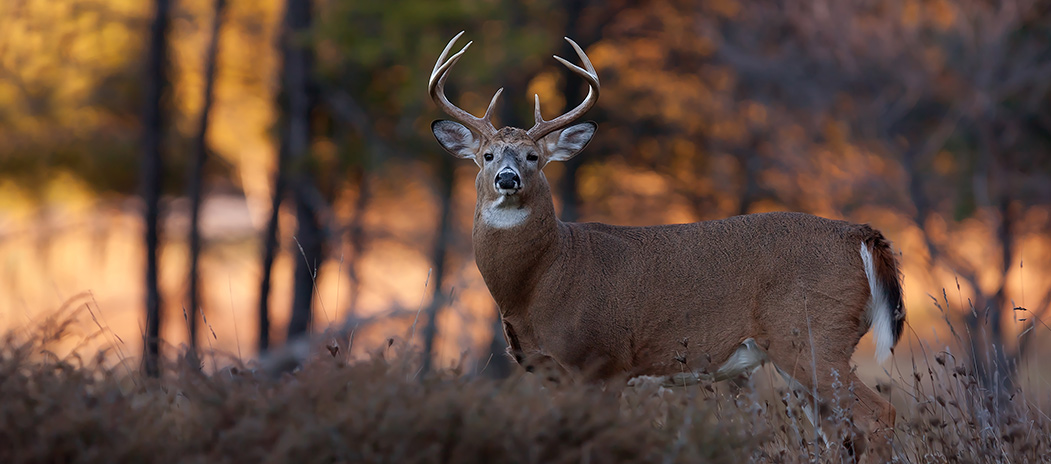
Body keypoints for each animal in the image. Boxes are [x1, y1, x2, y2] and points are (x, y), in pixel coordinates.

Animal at [428, 32, 906, 463]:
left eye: (533, 157)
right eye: (487, 156)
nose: (507, 179)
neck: (542, 279)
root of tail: (860, 234)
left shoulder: (602, 361)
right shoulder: (551, 372)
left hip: (814, 335)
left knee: (880, 415)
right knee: (842, 434)